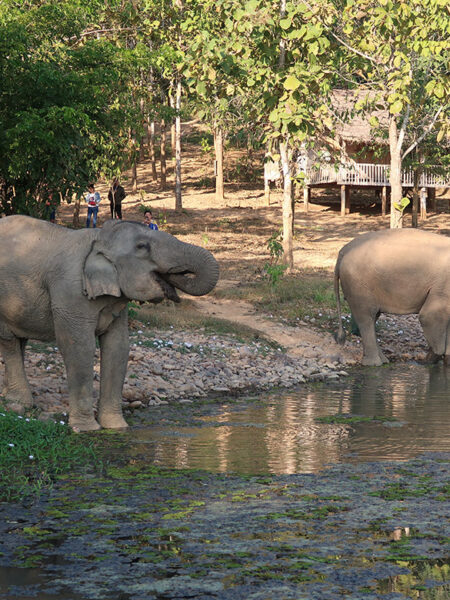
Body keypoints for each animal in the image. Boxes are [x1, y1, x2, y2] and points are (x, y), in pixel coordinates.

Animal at [0, 216, 220, 432]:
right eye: (142, 246)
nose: (179, 280)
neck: (99, 237)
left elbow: (118, 348)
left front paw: (116, 427)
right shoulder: (70, 293)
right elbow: (79, 347)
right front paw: (86, 429)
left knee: (19, 341)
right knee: (9, 342)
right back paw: (19, 403)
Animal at [334, 229, 450, 366]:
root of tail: (343, 250)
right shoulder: (443, 287)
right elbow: (429, 317)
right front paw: (432, 359)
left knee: (373, 317)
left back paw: (383, 360)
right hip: (357, 284)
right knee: (366, 318)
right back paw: (373, 364)